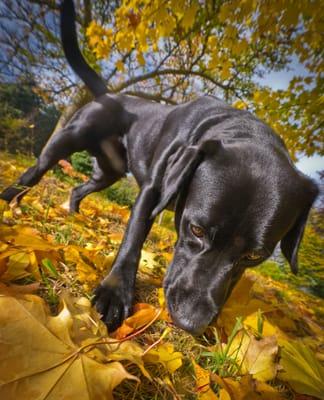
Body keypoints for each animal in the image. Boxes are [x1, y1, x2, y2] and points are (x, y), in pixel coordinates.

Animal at [0, 0, 318, 334]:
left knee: (79, 188)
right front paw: (114, 293)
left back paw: (72, 212)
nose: (191, 323)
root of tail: (111, 94)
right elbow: (133, 240)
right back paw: (8, 200)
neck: (240, 129)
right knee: (34, 172)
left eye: (255, 255)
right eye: (196, 229)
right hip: (66, 139)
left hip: (109, 172)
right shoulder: (152, 192)